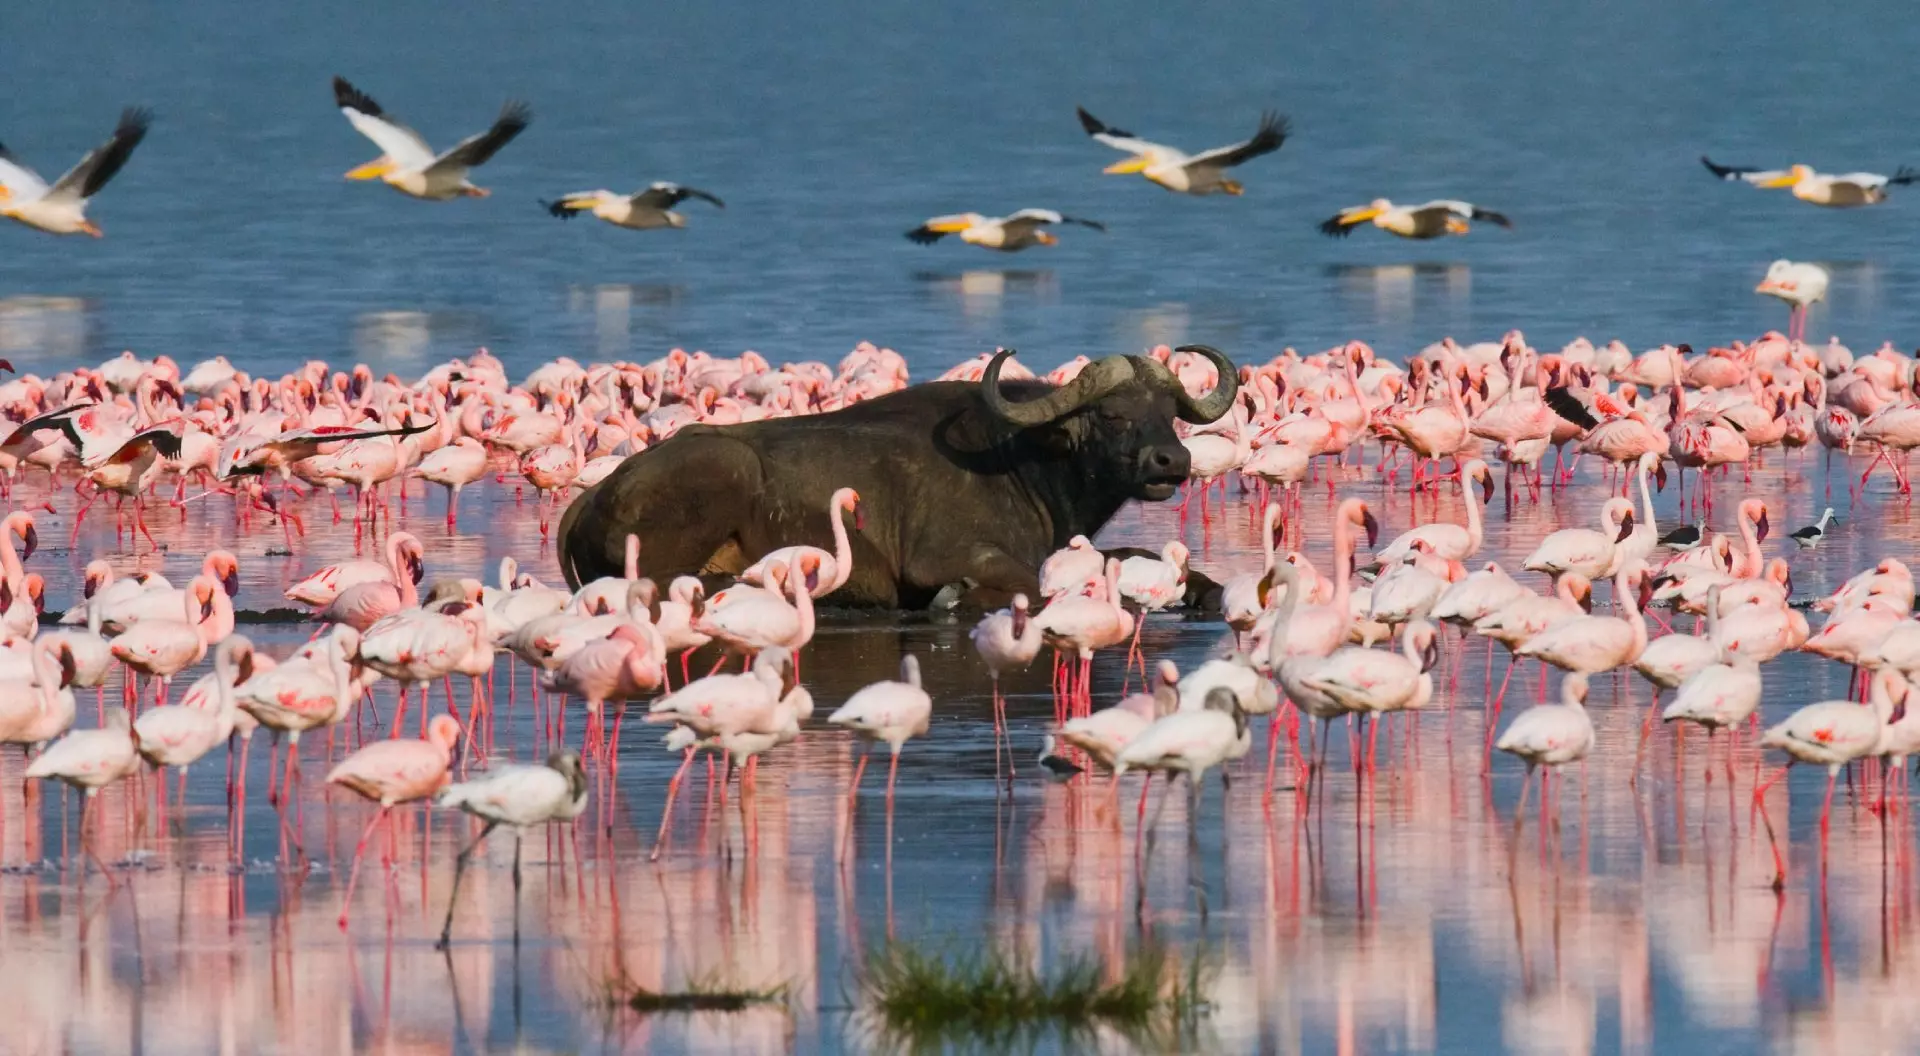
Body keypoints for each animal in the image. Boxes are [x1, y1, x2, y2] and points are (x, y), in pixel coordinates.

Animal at [557, 345, 1238, 608]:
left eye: (1168, 413)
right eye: (1112, 415)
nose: (1171, 463)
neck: (1022, 463)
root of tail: (591, 498)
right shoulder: (945, 559)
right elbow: (1037, 584)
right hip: (724, 470)